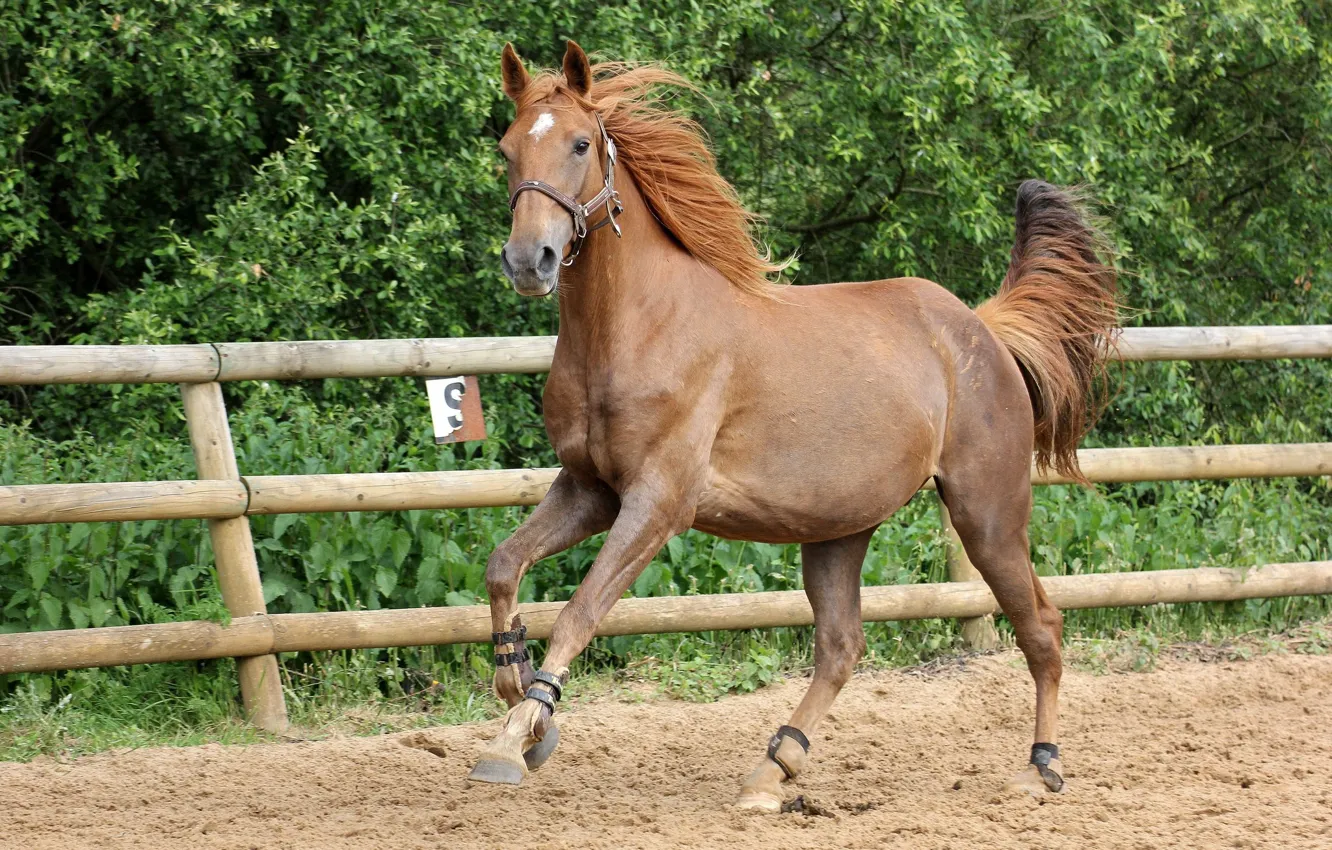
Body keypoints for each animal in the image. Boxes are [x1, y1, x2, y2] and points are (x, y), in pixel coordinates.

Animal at [468, 40, 1118, 811]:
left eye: (577, 143)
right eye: (507, 150)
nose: (527, 260)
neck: (637, 328)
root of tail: (983, 329)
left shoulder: (658, 502)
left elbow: (579, 610)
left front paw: (517, 737)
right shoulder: (588, 489)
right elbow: (503, 566)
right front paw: (521, 703)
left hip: (986, 512)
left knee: (1041, 628)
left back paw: (1041, 766)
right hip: (839, 528)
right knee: (841, 646)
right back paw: (772, 768)